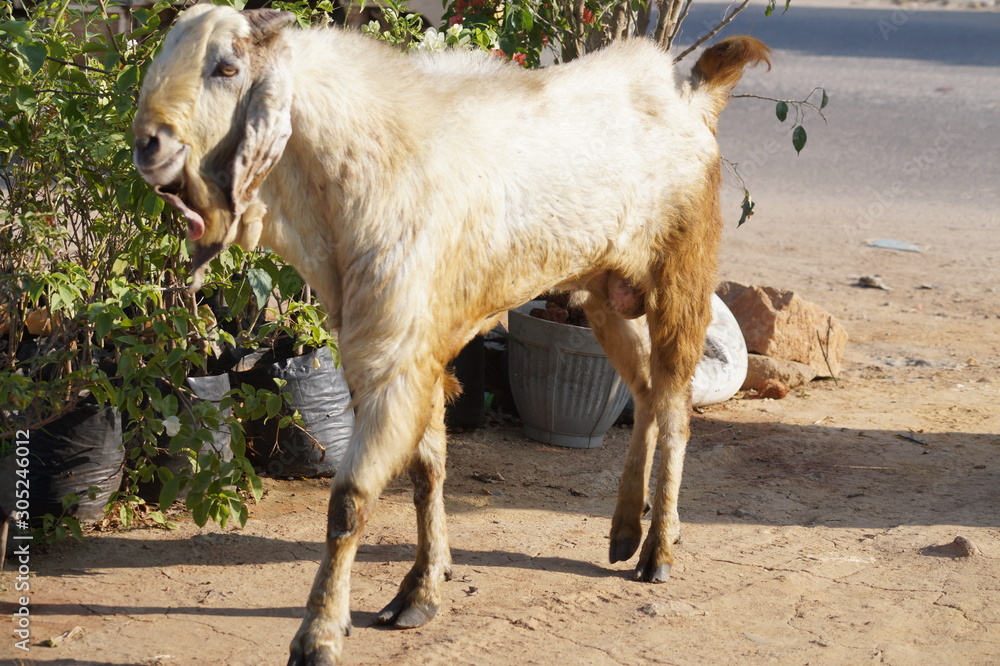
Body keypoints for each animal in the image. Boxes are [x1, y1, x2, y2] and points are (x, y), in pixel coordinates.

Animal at [132, 6, 770, 664]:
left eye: (227, 68)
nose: (147, 144)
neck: (367, 162)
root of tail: (691, 93)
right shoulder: (397, 352)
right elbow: (427, 470)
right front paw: (421, 589)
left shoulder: (395, 357)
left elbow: (350, 501)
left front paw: (320, 634)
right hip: (603, 295)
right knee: (644, 391)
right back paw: (623, 531)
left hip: (681, 280)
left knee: (674, 406)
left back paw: (657, 550)